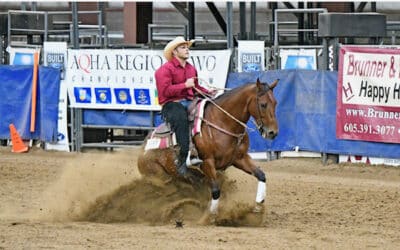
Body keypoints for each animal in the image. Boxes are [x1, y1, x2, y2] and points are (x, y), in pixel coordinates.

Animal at [139, 78, 280, 215]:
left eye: (275, 103)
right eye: (263, 104)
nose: (272, 132)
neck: (223, 121)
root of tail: (143, 149)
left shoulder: (240, 158)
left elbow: (261, 175)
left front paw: (258, 206)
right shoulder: (207, 163)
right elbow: (216, 191)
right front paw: (211, 216)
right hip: (159, 178)